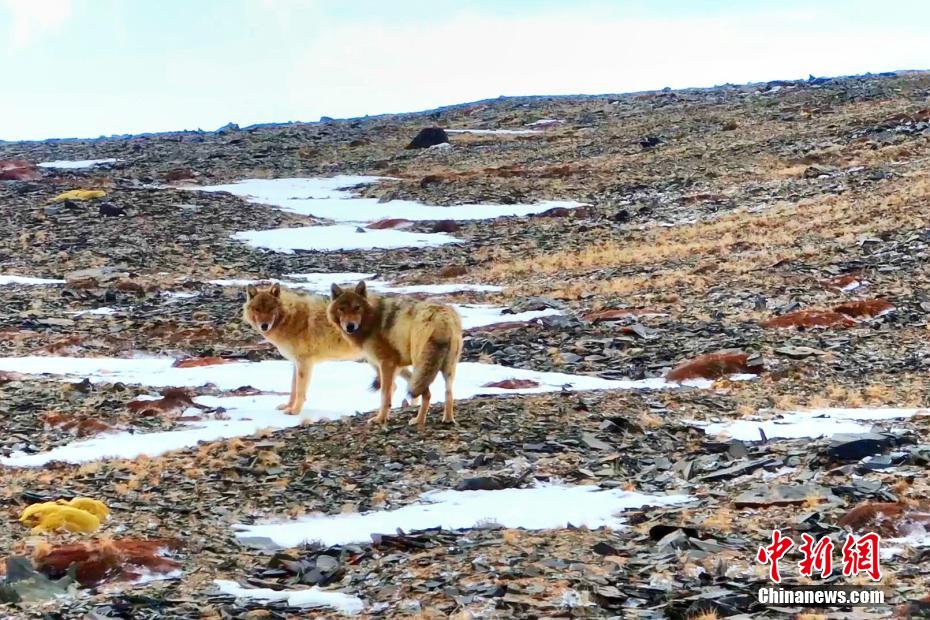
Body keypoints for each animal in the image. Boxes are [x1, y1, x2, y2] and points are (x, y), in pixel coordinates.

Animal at [328, 282, 462, 432]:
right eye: (341, 309)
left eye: (357, 307)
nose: (350, 326)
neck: (372, 318)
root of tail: (441, 317)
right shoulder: (396, 366)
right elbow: (391, 391)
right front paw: (386, 416)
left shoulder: (386, 364)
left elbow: (385, 394)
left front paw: (380, 419)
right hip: (447, 368)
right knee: (448, 393)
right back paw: (448, 419)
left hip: (420, 366)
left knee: (427, 394)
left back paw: (418, 421)